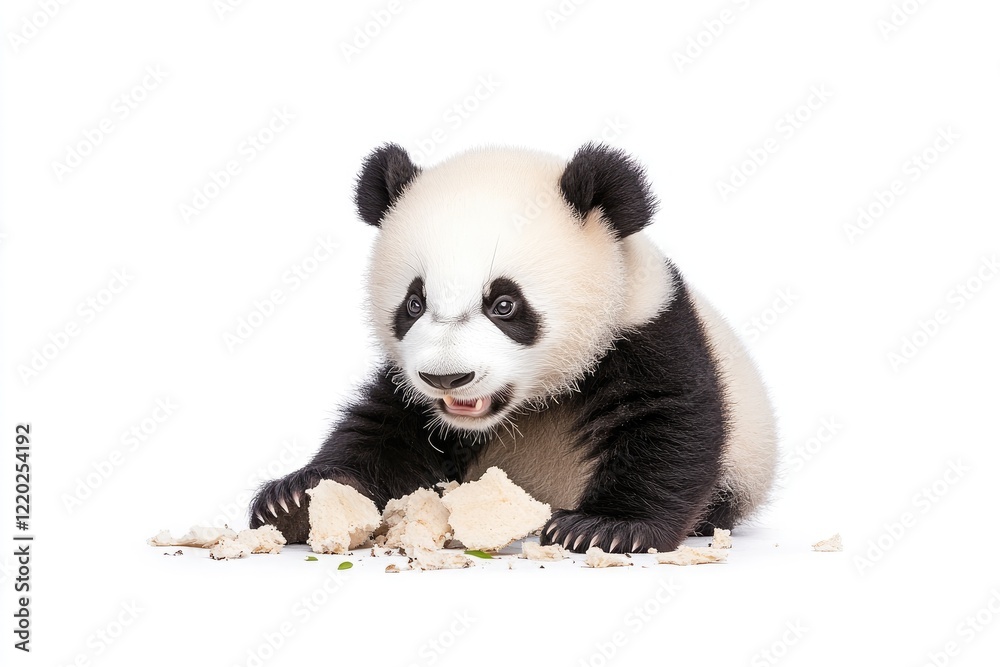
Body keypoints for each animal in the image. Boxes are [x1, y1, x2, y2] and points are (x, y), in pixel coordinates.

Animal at [249, 142, 777, 554]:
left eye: (504, 304)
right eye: (414, 303)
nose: (447, 378)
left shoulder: (647, 328)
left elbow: (667, 422)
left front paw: (604, 528)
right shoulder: (412, 391)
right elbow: (386, 431)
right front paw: (298, 500)